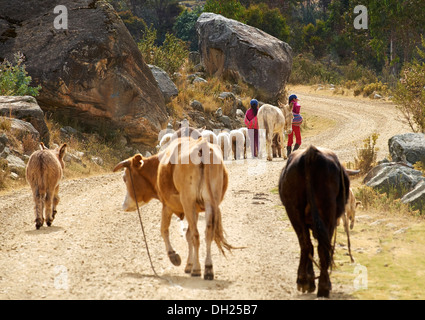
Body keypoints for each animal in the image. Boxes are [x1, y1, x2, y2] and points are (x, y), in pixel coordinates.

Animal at [112, 138, 232, 280]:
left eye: (124, 178)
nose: (123, 205)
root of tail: (202, 146)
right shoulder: (196, 210)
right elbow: (188, 235)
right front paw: (189, 264)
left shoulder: (167, 206)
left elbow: (164, 230)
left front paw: (174, 256)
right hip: (209, 203)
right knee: (208, 233)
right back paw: (208, 269)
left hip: (188, 201)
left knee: (196, 235)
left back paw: (197, 270)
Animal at [278, 145, 358, 298]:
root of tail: (311, 154)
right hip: (327, 213)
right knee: (319, 247)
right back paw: (321, 285)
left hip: (294, 211)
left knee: (307, 244)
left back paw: (306, 281)